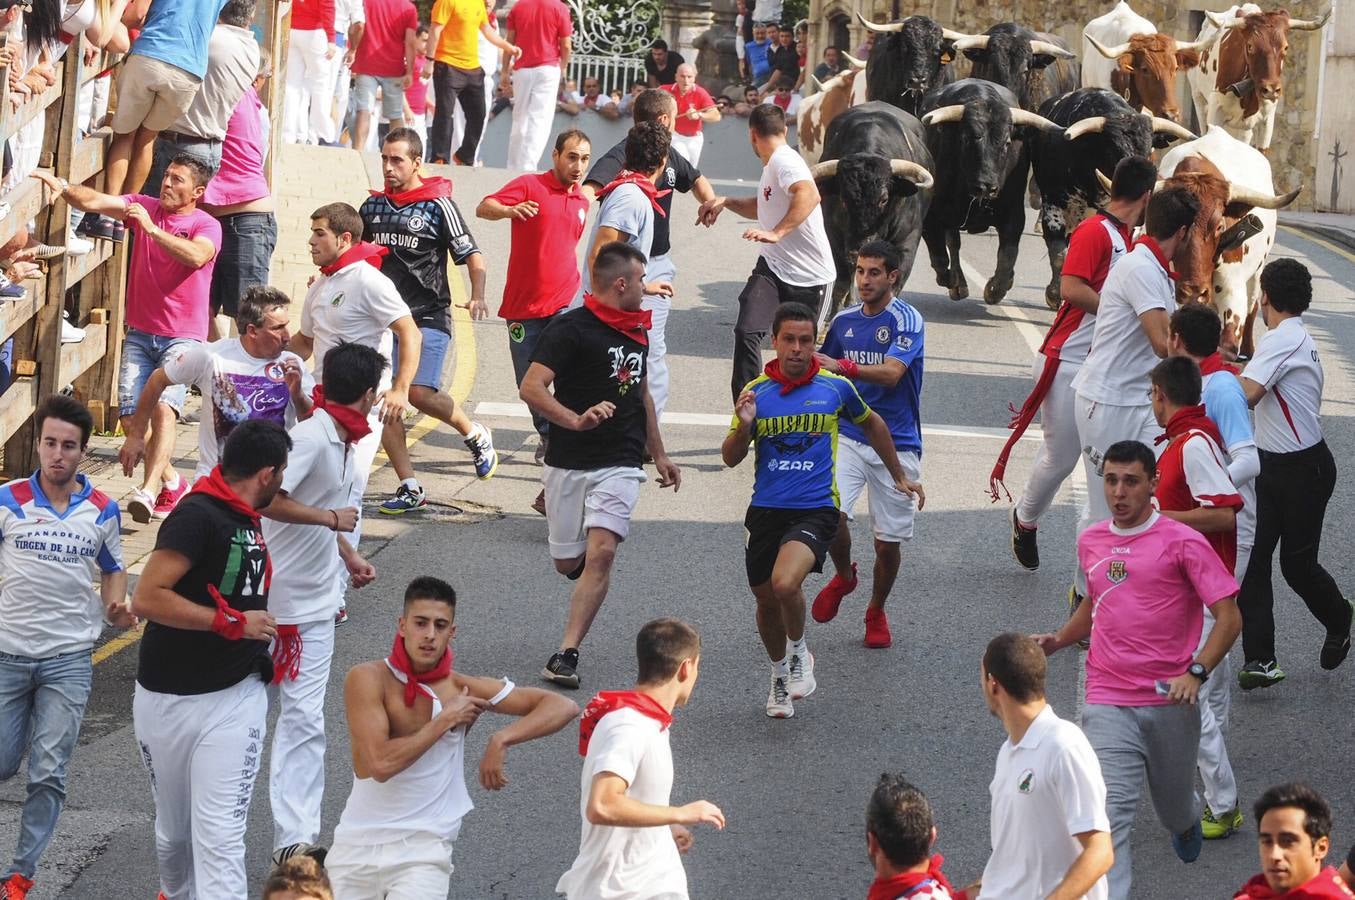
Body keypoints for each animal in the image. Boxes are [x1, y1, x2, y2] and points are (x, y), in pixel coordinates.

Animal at [807, 102, 937, 318]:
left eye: (884, 199)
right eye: (843, 198)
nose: (859, 248)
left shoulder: (907, 240)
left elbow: (895, 283)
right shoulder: (835, 238)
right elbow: (842, 283)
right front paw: (833, 317)